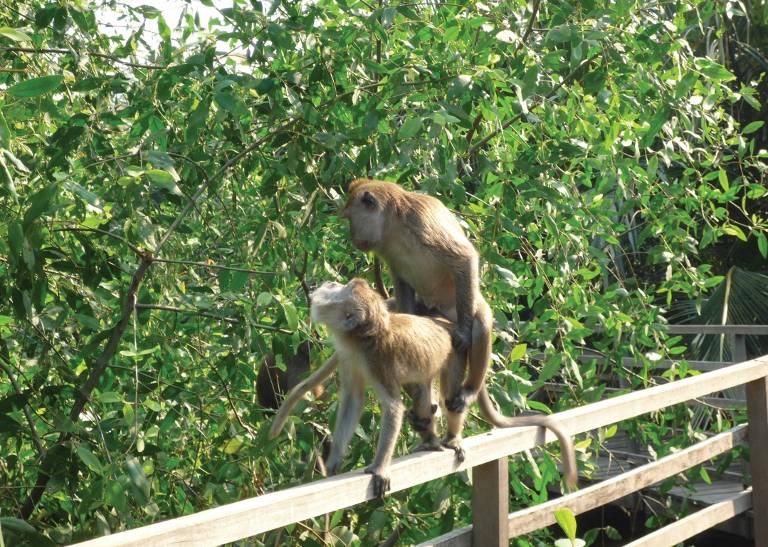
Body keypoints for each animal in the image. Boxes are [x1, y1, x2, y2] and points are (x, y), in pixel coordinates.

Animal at [288, 280, 576, 498]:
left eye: (341, 287)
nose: (327, 283)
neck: (362, 337)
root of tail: (445, 322)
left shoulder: (376, 360)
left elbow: (393, 407)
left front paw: (380, 468)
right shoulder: (350, 357)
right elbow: (352, 401)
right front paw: (334, 461)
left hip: (456, 354)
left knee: (450, 395)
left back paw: (452, 436)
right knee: (424, 389)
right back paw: (429, 438)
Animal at [342, 178, 492, 414]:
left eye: (351, 218)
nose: (352, 235)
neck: (394, 227)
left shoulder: (421, 222)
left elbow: (463, 258)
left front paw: (463, 333)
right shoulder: (388, 251)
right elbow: (402, 283)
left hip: (463, 304)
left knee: (481, 323)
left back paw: (469, 390)